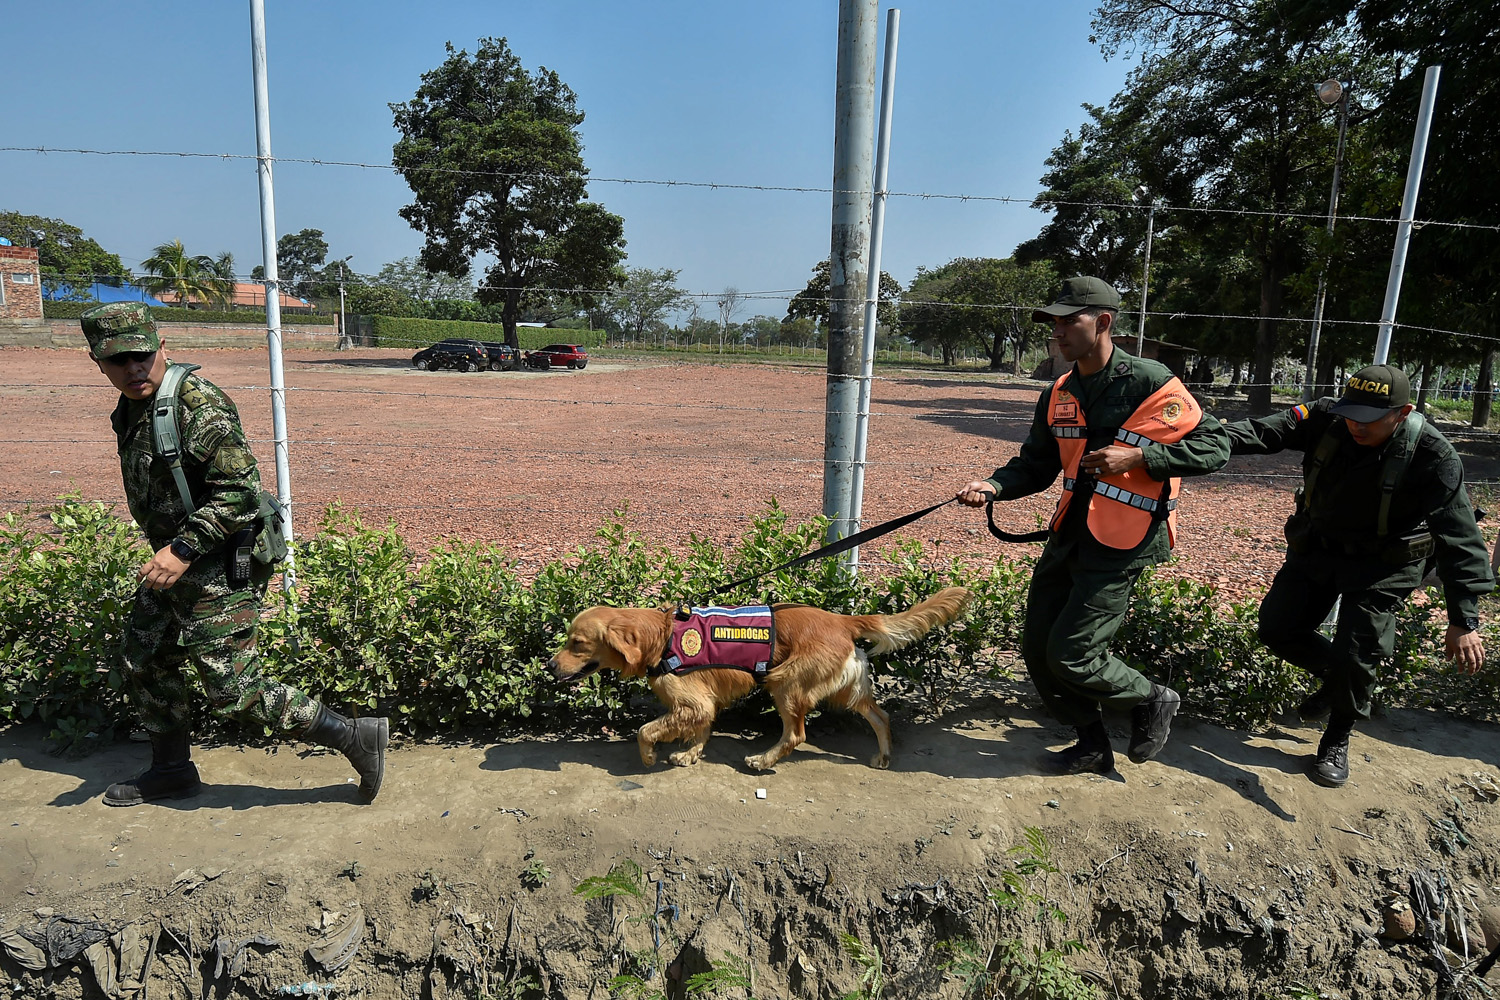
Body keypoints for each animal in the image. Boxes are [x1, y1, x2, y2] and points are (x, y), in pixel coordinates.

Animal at [552, 587, 972, 773]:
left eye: (577, 643)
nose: (550, 667)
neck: (662, 635)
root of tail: (842, 620)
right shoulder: (703, 702)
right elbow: (701, 729)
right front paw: (689, 754)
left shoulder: (693, 701)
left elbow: (645, 730)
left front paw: (649, 756)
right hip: (847, 690)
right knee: (881, 717)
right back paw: (884, 755)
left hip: (785, 683)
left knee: (796, 734)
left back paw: (762, 758)